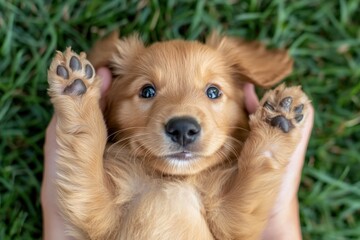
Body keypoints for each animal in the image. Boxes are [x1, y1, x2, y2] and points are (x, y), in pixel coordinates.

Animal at [47, 32, 310, 240]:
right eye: (147, 91)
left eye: (213, 91)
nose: (183, 128)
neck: (172, 182)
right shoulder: (97, 213)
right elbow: (86, 146)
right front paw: (76, 90)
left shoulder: (233, 221)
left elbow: (257, 169)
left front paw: (278, 122)